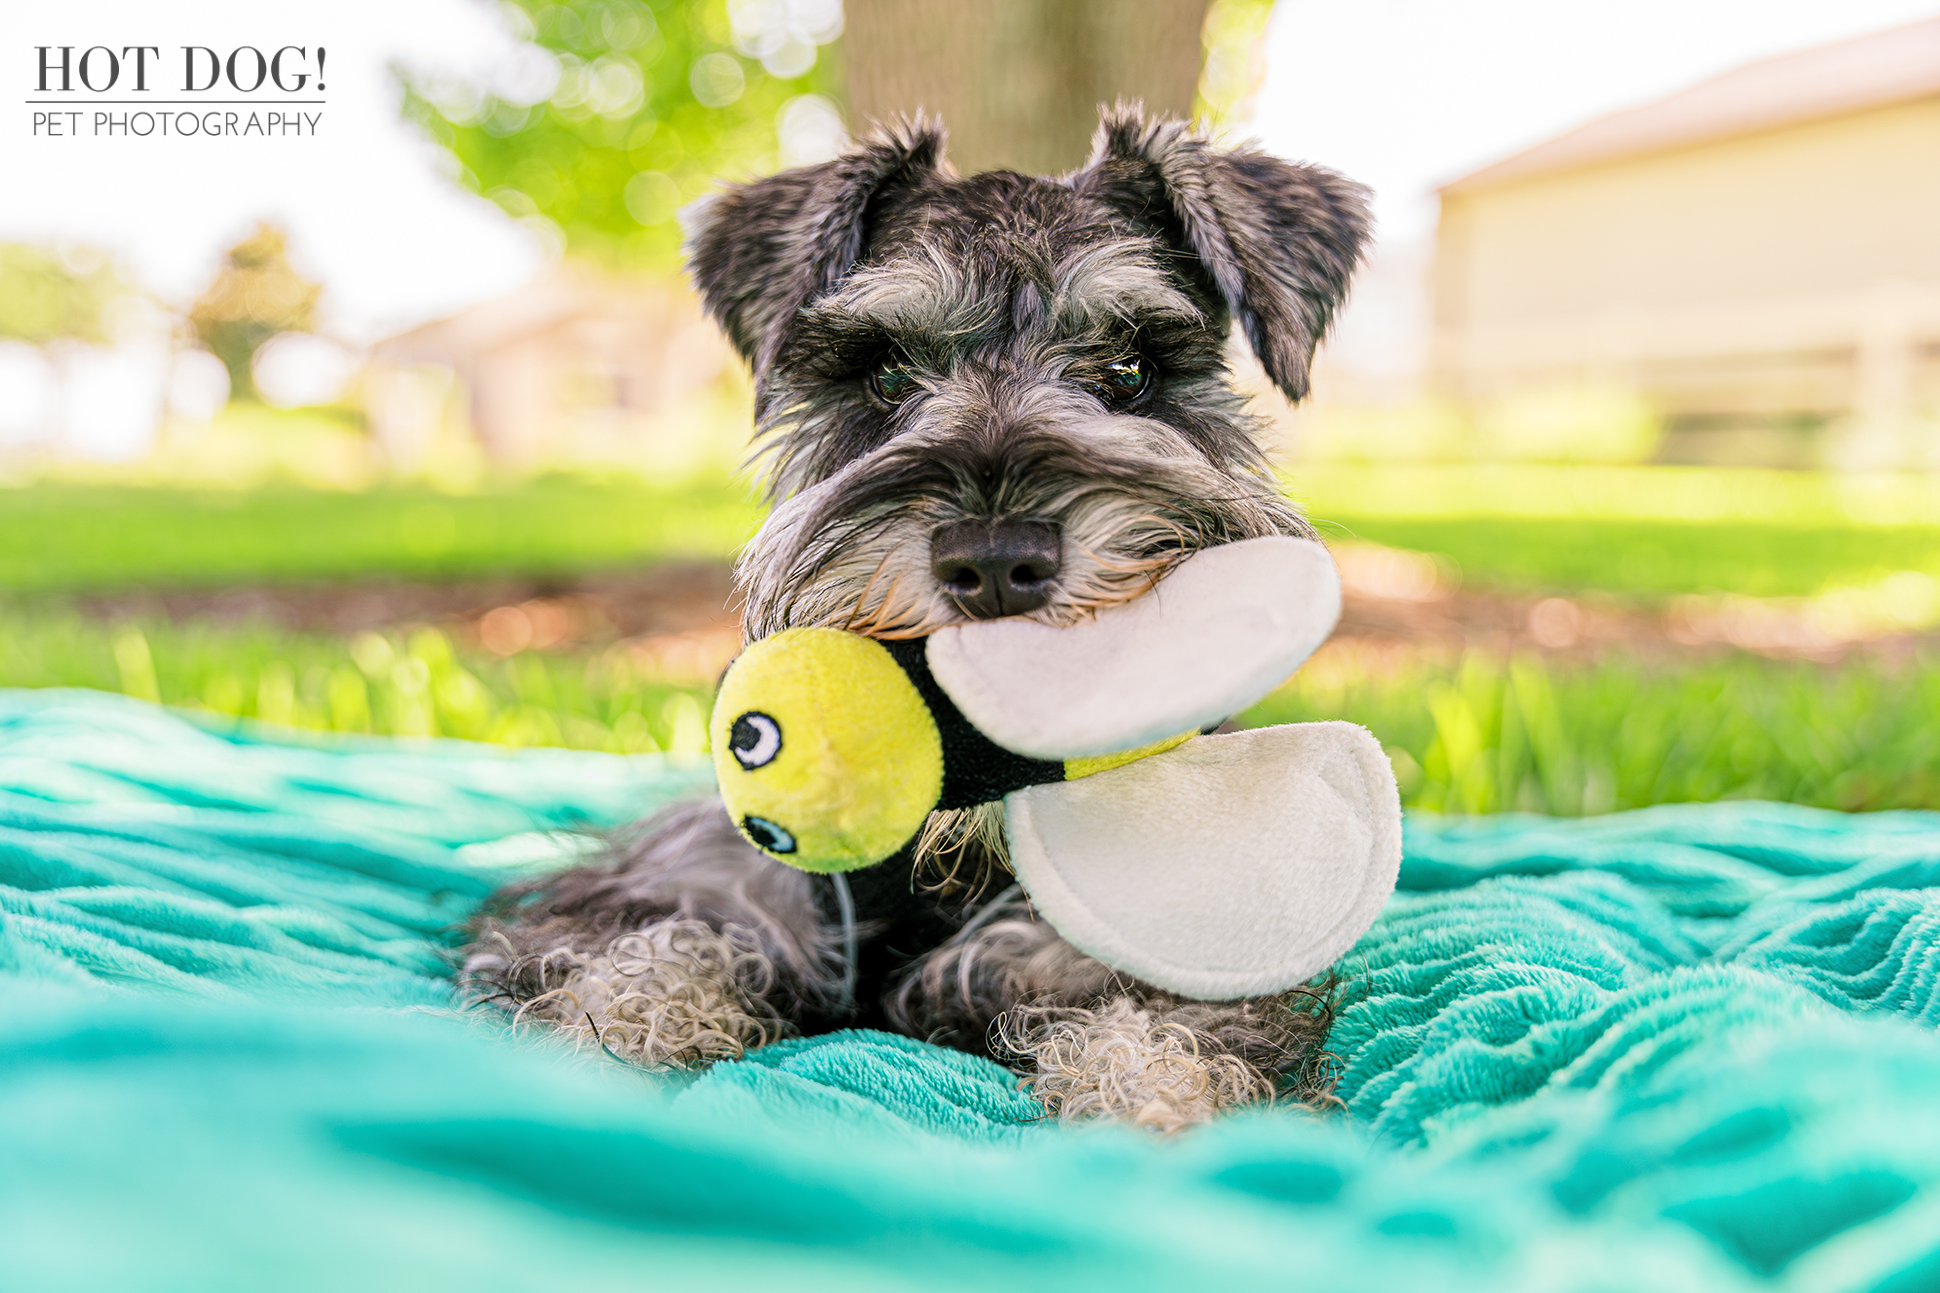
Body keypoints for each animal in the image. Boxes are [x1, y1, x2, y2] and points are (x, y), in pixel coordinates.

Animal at [461, 103, 1373, 1126]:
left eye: (1131, 366)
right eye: (887, 373)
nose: (997, 561)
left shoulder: (1166, 940)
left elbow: (1165, 1034)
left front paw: (1153, 1105)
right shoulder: (686, 878)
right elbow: (647, 954)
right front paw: (608, 1037)